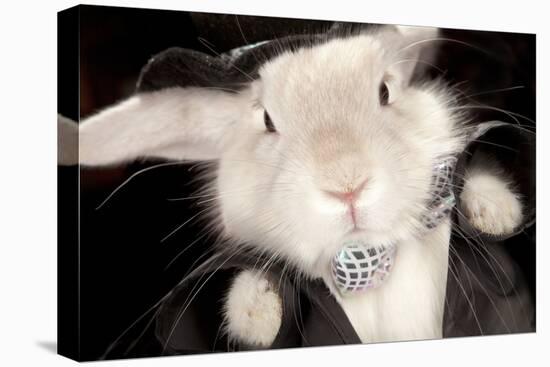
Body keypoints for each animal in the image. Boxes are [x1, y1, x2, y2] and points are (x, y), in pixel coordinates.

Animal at [73, 25, 528, 348]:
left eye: (385, 91)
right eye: (266, 120)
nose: (347, 185)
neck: (370, 262)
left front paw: (496, 210)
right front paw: (254, 316)